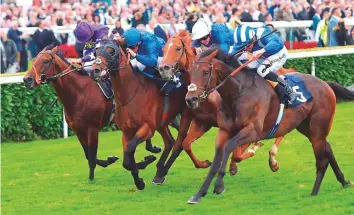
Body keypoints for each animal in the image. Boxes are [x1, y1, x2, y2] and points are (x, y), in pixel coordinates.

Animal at [23, 45, 158, 181]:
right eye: (34, 60)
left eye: (45, 61)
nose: (26, 79)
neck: (79, 94)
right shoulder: (78, 130)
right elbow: (88, 155)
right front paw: (109, 160)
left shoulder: (92, 129)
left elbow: (92, 156)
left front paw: (92, 176)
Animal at [91, 40, 191, 190]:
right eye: (96, 51)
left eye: (111, 51)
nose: (94, 70)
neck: (130, 94)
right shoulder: (127, 131)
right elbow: (127, 159)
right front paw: (140, 179)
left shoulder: (147, 128)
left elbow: (130, 149)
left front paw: (146, 161)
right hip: (162, 123)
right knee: (170, 142)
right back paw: (159, 173)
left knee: (179, 143)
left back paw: (162, 170)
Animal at [185, 47, 352, 203]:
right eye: (190, 72)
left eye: (205, 72)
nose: (190, 99)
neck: (238, 92)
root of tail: (325, 83)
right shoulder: (224, 131)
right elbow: (215, 162)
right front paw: (199, 194)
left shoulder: (253, 131)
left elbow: (228, 148)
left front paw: (219, 186)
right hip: (306, 127)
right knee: (327, 148)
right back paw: (343, 181)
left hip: (318, 128)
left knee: (322, 160)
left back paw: (314, 192)